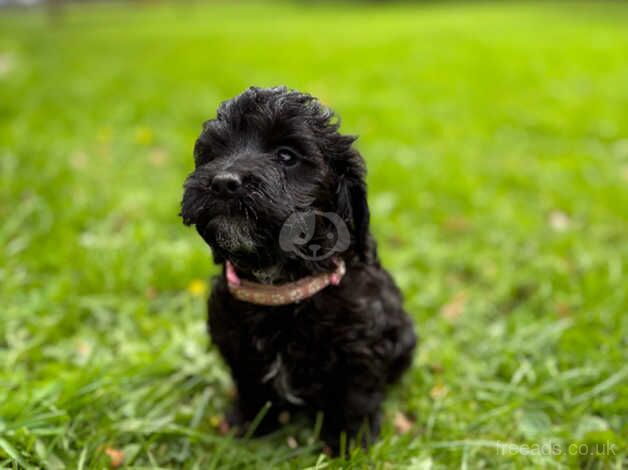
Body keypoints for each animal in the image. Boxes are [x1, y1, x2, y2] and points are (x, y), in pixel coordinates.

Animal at [182, 86, 418, 450]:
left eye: (286, 156)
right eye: (214, 153)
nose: (223, 182)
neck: (281, 287)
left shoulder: (362, 347)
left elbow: (356, 397)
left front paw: (350, 444)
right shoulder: (235, 343)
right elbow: (250, 388)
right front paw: (249, 426)